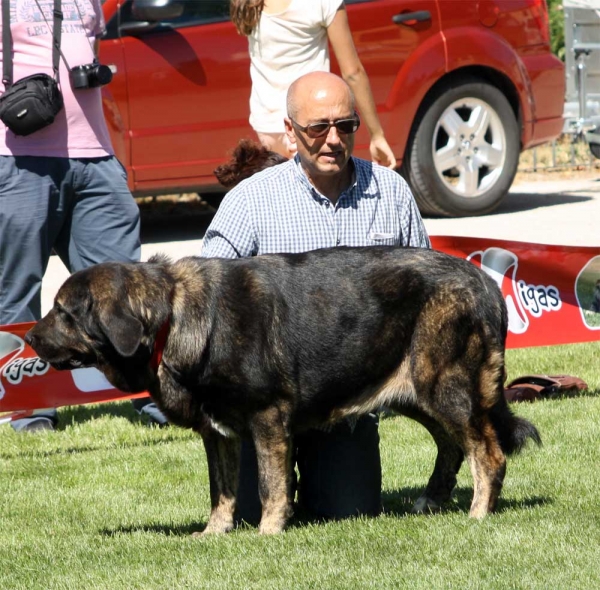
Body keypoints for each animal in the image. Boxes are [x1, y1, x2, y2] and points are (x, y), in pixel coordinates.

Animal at [25, 245, 540, 536]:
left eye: (64, 312)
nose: (28, 337)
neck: (173, 316)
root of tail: (484, 283)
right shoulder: (219, 434)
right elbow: (222, 492)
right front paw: (214, 534)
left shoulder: (268, 419)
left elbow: (272, 485)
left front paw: (268, 533)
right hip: (416, 391)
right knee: (452, 446)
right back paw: (433, 500)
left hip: (444, 386)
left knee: (487, 453)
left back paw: (478, 514)